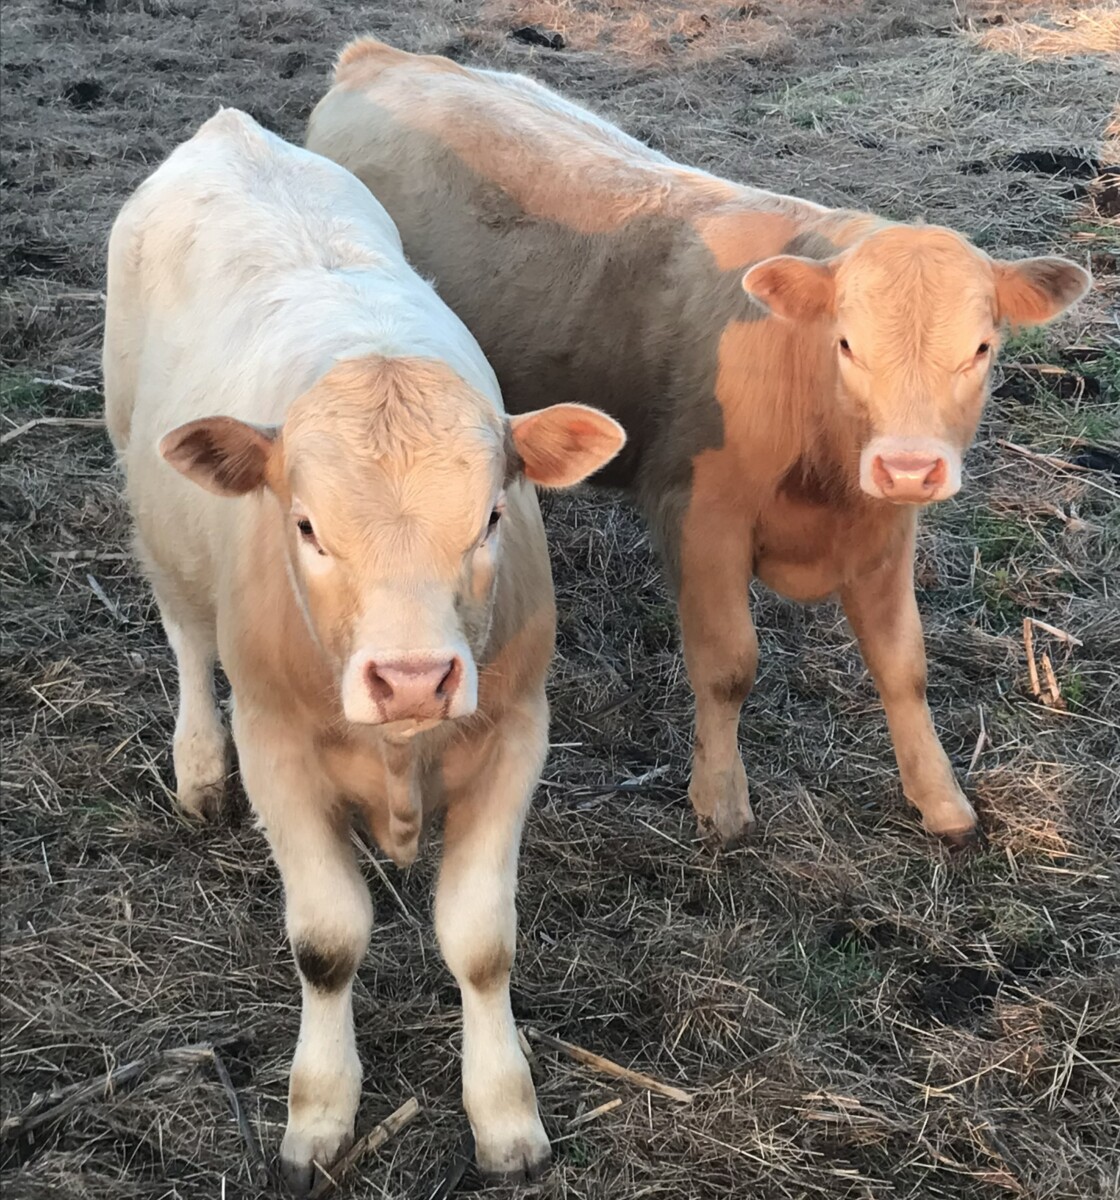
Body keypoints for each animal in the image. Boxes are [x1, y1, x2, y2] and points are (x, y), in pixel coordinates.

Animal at [103, 108, 624, 1193]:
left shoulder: (517, 732)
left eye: (490, 515)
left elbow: (481, 943)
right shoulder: (277, 746)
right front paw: (318, 1112)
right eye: (306, 527)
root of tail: (231, 130)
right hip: (145, 495)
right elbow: (327, 943)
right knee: (185, 640)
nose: (414, 677)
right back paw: (196, 769)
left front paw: (504, 1113)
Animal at [306, 38, 1091, 849]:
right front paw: (721, 799)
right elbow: (728, 665)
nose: (909, 466)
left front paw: (941, 799)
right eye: (846, 344)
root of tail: (382, 57)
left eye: (981, 350)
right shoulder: (702, 516)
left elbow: (904, 664)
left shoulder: (884, 528)